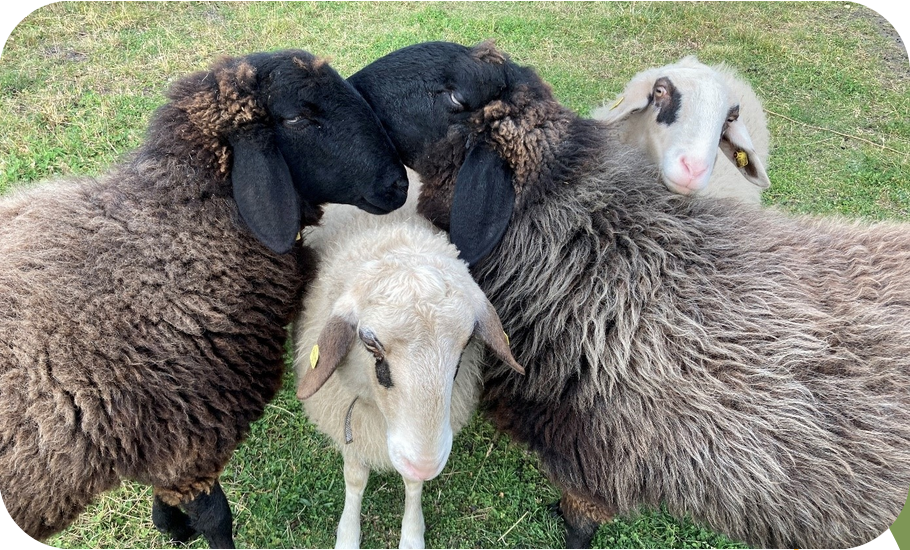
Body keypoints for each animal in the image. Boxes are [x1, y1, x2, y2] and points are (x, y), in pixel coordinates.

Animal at [0, 49, 408, 548]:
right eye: (296, 116)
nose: (398, 185)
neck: (183, 230)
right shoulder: (188, 439)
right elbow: (215, 517)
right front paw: (182, 528)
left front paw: (170, 526)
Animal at [293, 174, 523, 549]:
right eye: (369, 343)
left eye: (466, 343)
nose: (426, 464)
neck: (393, 234)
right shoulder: (347, 417)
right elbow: (354, 479)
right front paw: (348, 533)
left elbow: (412, 485)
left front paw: (412, 533)